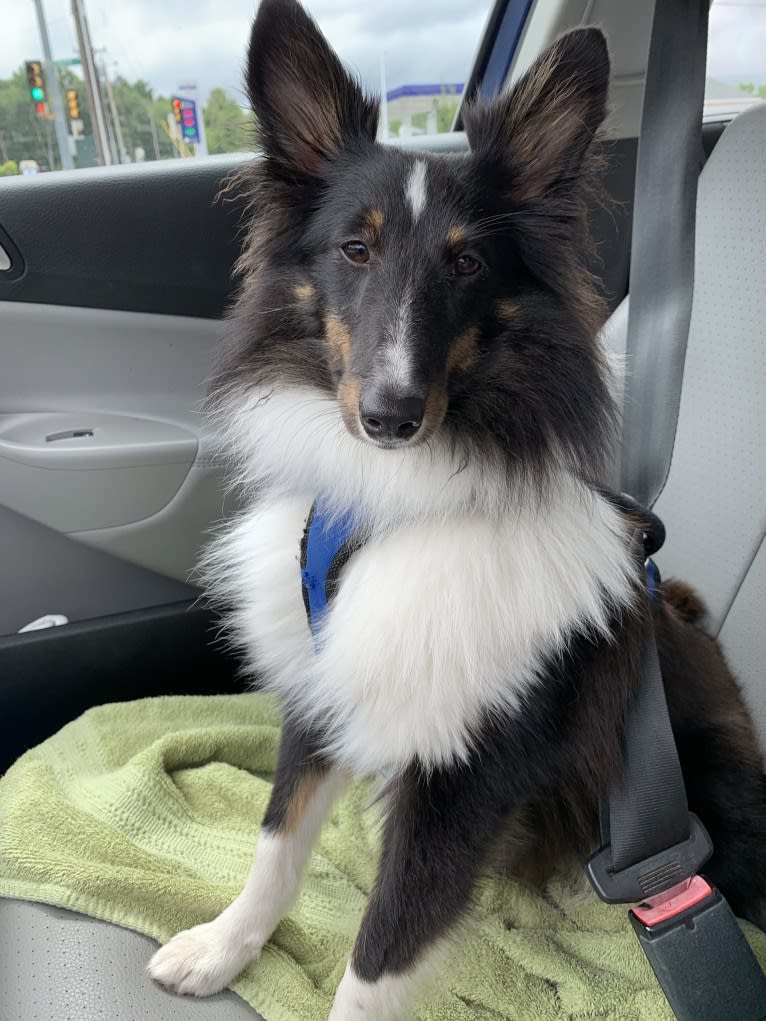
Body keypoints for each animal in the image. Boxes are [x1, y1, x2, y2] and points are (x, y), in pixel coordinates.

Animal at [148, 3, 766, 1016]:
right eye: (354, 249)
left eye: (468, 261)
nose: (389, 417)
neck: (393, 503)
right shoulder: (324, 687)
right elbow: (277, 843)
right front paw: (221, 946)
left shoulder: (465, 775)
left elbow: (378, 953)